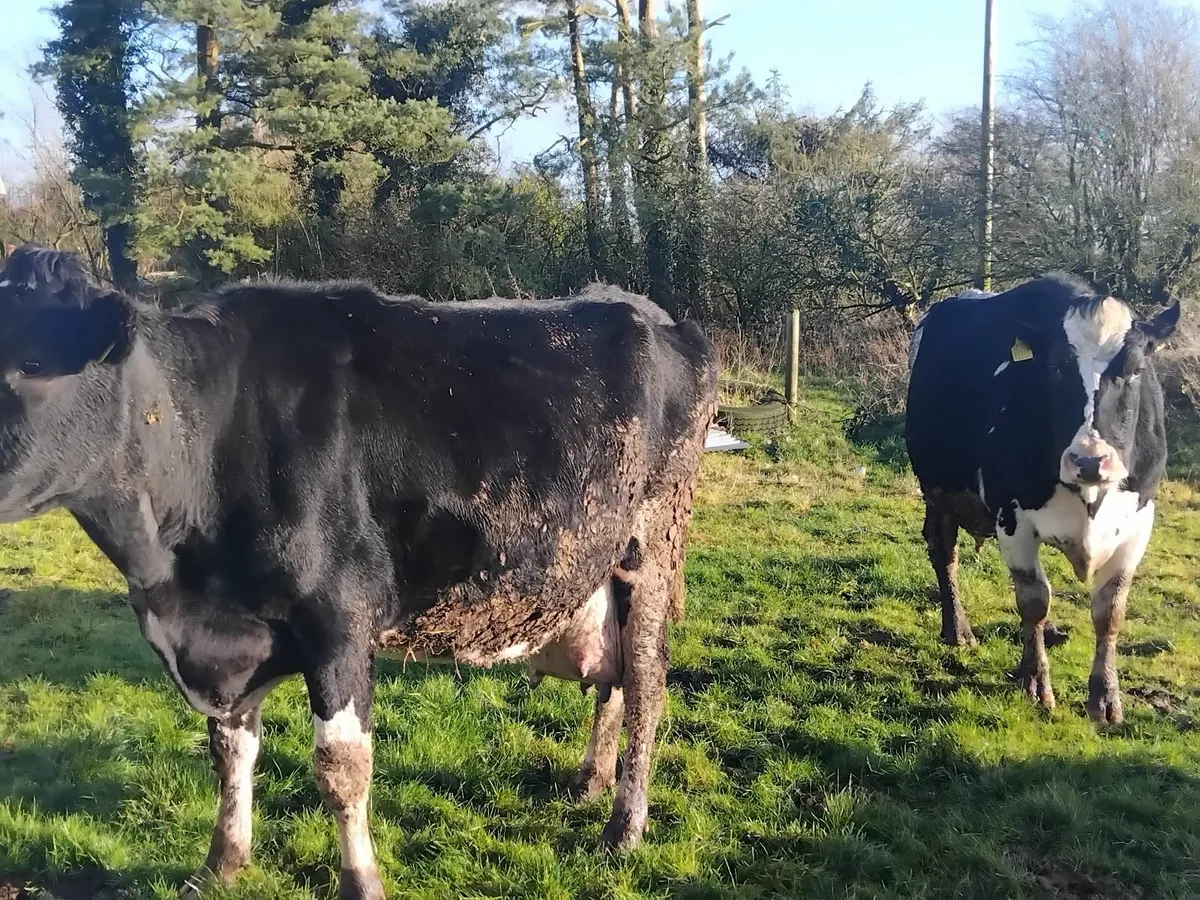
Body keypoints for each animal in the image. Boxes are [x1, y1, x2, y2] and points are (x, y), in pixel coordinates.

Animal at [0, 244, 717, 899]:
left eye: (32, 364)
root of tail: (656, 315)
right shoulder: (228, 642)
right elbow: (230, 753)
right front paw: (222, 864)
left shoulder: (338, 621)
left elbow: (341, 767)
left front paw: (361, 881)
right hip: (599, 567)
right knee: (612, 680)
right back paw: (590, 781)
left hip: (652, 546)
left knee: (647, 683)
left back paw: (624, 827)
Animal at [905, 273, 1179, 725]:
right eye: (1054, 369)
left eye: (1135, 369)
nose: (1090, 460)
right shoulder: (1012, 518)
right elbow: (1033, 599)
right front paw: (1035, 682)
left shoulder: (1139, 521)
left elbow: (1110, 610)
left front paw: (1106, 698)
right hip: (937, 486)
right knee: (943, 550)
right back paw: (959, 630)